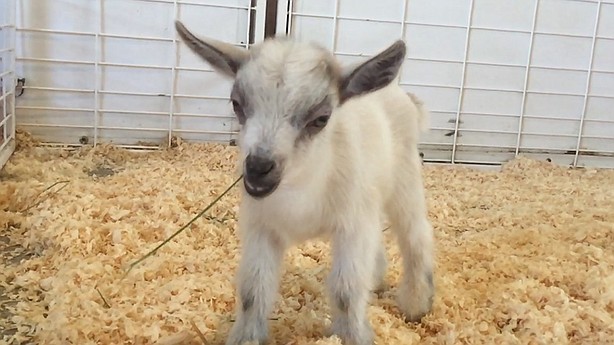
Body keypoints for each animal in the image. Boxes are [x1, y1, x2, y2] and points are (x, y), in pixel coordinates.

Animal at [176, 20, 436, 344]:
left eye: (321, 119)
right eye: (237, 104)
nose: (258, 168)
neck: (301, 189)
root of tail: (403, 96)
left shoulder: (351, 225)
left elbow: (346, 290)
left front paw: (353, 336)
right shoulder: (261, 226)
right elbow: (253, 289)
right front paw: (246, 337)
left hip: (404, 178)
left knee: (416, 234)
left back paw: (417, 303)